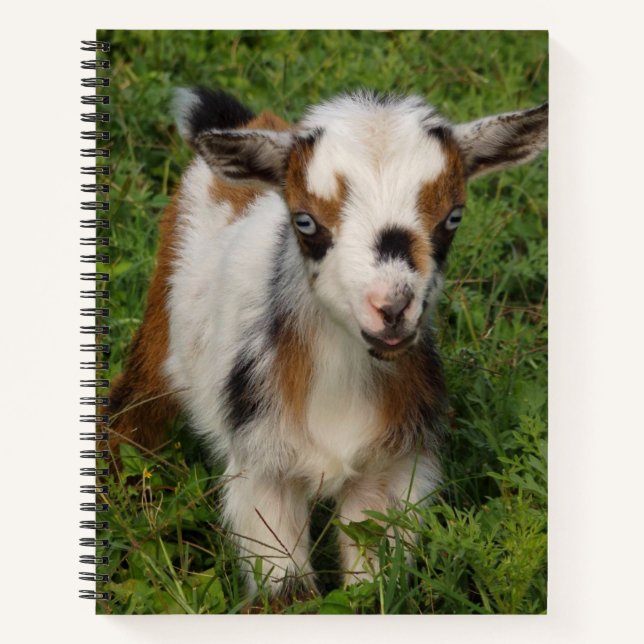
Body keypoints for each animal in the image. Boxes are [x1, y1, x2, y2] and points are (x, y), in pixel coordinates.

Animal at [108, 87, 548, 596]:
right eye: (305, 222)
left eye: (453, 217)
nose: (391, 307)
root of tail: (251, 121)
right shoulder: (262, 468)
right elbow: (286, 589)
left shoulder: (387, 469)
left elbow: (371, 584)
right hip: (161, 326)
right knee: (132, 410)